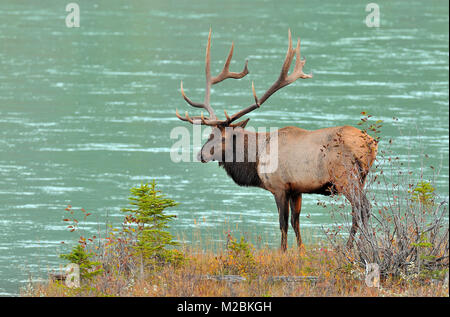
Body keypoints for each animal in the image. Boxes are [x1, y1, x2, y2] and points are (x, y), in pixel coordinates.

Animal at [175, 30, 376, 252]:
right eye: (209, 135)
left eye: (224, 137)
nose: (201, 154)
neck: (256, 159)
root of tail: (370, 144)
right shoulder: (296, 189)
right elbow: (296, 222)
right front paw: (301, 250)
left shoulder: (279, 187)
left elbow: (283, 223)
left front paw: (282, 251)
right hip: (360, 179)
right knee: (359, 209)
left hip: (346, 177)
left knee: (362, 207)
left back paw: (355, 246)